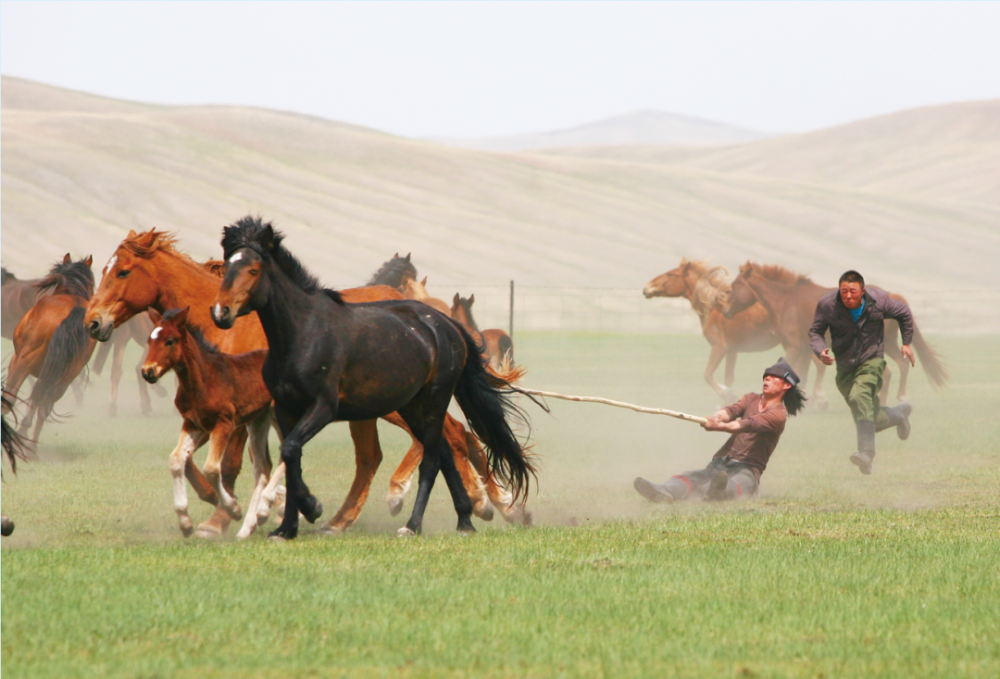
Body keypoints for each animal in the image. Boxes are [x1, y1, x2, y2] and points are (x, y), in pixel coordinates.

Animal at [3, 255, 97, 446]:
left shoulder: (16, 359)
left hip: (24, 362)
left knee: (10, 399)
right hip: (64, 377)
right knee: (43, 406)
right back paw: (31, 446)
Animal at [141, 310, 274, 540]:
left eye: (170, 340)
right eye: (150, 340)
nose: (148, 371)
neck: (203, 379)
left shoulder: (224, 422)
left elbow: (211, 469)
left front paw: (233, 508)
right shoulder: (194, 424)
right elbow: (176, 459)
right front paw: (185, 523)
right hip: (258, 421)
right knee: (263, 466)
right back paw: (247, 528)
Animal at [724, 262, 948, 404]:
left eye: (735, 285)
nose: (725, 311)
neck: (786, 300)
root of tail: (893, 297)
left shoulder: (793, 348)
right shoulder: (804, 350)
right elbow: (802, 375)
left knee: (889, 372)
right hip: (891, 344)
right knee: (901, 365)